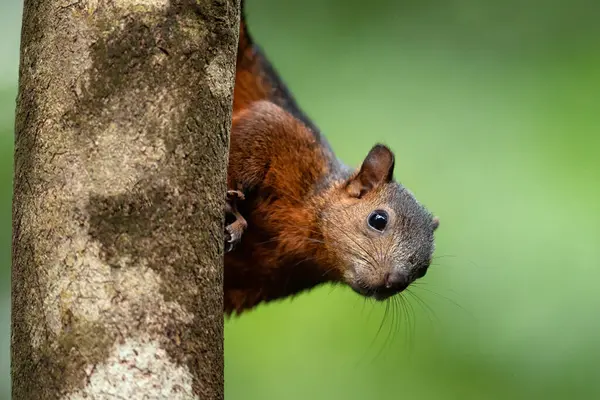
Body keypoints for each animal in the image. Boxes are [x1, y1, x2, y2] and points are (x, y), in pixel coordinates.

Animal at [223, 2, 438, 316]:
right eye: (378, 220)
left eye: (424, 268)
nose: (394, 282)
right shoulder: (288, 141)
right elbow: (258, 129)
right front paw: (234, 206)